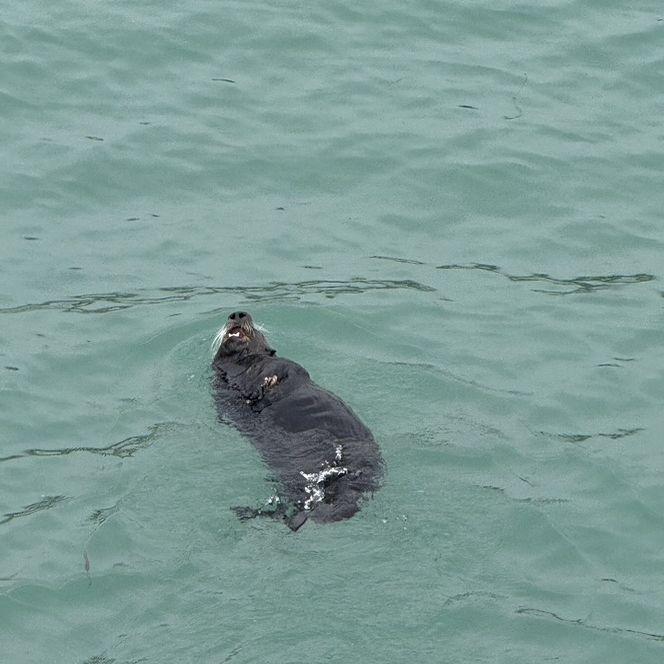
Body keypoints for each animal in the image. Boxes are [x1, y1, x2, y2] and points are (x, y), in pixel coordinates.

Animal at [212, 311, 383, 531]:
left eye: (257, 331)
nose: (237, 314)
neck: (241, 367)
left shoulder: (288, 366)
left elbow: (284, 367)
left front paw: (263, 383)